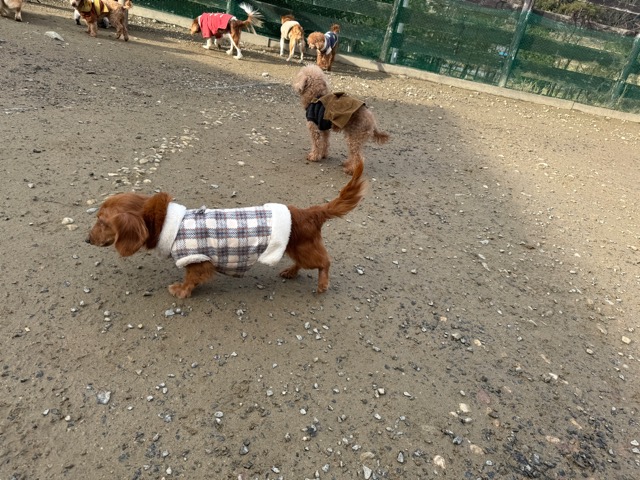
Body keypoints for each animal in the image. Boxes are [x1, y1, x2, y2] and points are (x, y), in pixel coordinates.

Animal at [86, 162, 366, 297]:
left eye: (102, 222)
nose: (87, 239)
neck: (165, 222)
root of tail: (310, 212)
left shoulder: (197, 260)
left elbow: (191, 278)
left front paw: (181, 290)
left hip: (305, 248)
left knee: (324, 262)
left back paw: (322, 284)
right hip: (294, 246)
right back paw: (290, 271)